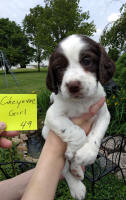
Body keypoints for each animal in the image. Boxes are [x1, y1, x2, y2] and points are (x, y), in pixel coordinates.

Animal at [42, 34, 115, 200]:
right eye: (59, 68)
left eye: (87, 61)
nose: (73, 85)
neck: (81, 101)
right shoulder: (52, 115)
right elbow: (75, 131)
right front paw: (72, 149)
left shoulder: (103, 113)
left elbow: (97, 133)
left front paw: (87, 153)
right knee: (64, 170)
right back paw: (76, 185)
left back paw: (77, 169)